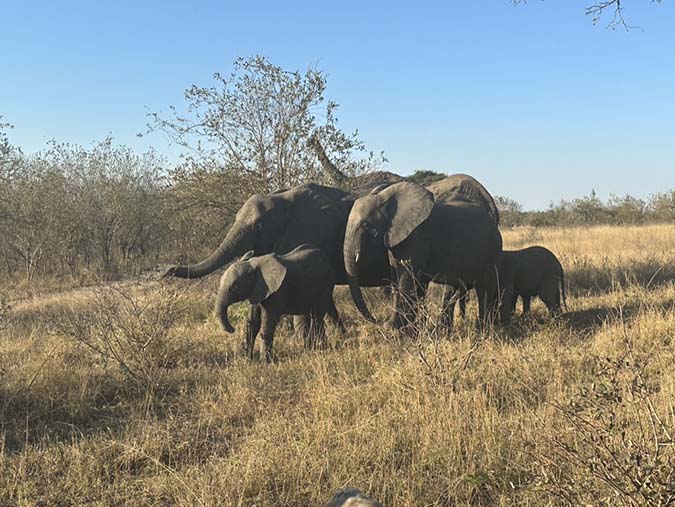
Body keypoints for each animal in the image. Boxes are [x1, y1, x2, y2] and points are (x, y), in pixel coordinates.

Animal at [346, 177, 504, 332]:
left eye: (365, 225)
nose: (378, 321)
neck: (385, 197)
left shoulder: (416, 236)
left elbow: (406, 278)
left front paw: (397, 330)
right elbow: (397, 278)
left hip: (491, 250)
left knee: (484, 289)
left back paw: (482, 330)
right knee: (454, 288)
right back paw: (446, 329)